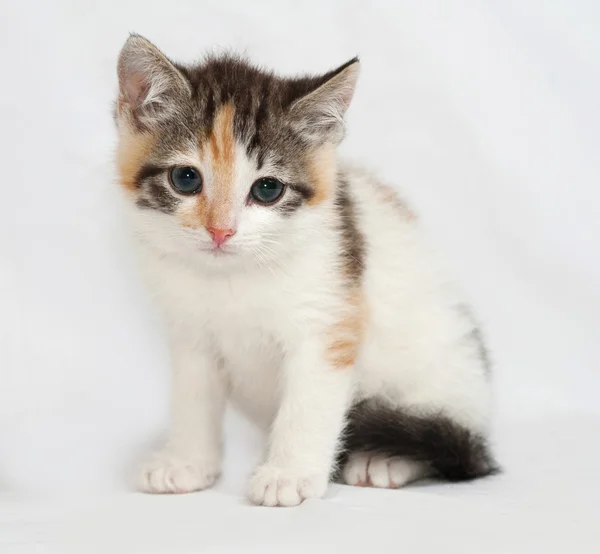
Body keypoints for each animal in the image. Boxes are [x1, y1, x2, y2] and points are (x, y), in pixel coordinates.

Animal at [112, 35, 496, 504]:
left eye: (267, 189)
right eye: (186, 179)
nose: (221, 231)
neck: (233, 276)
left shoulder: (328, 317)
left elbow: (308, 404)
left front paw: (288, 474)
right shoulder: (191, 334)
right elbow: (192, 398)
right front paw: (187, 463)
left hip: (439, 370)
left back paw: (385, 458)